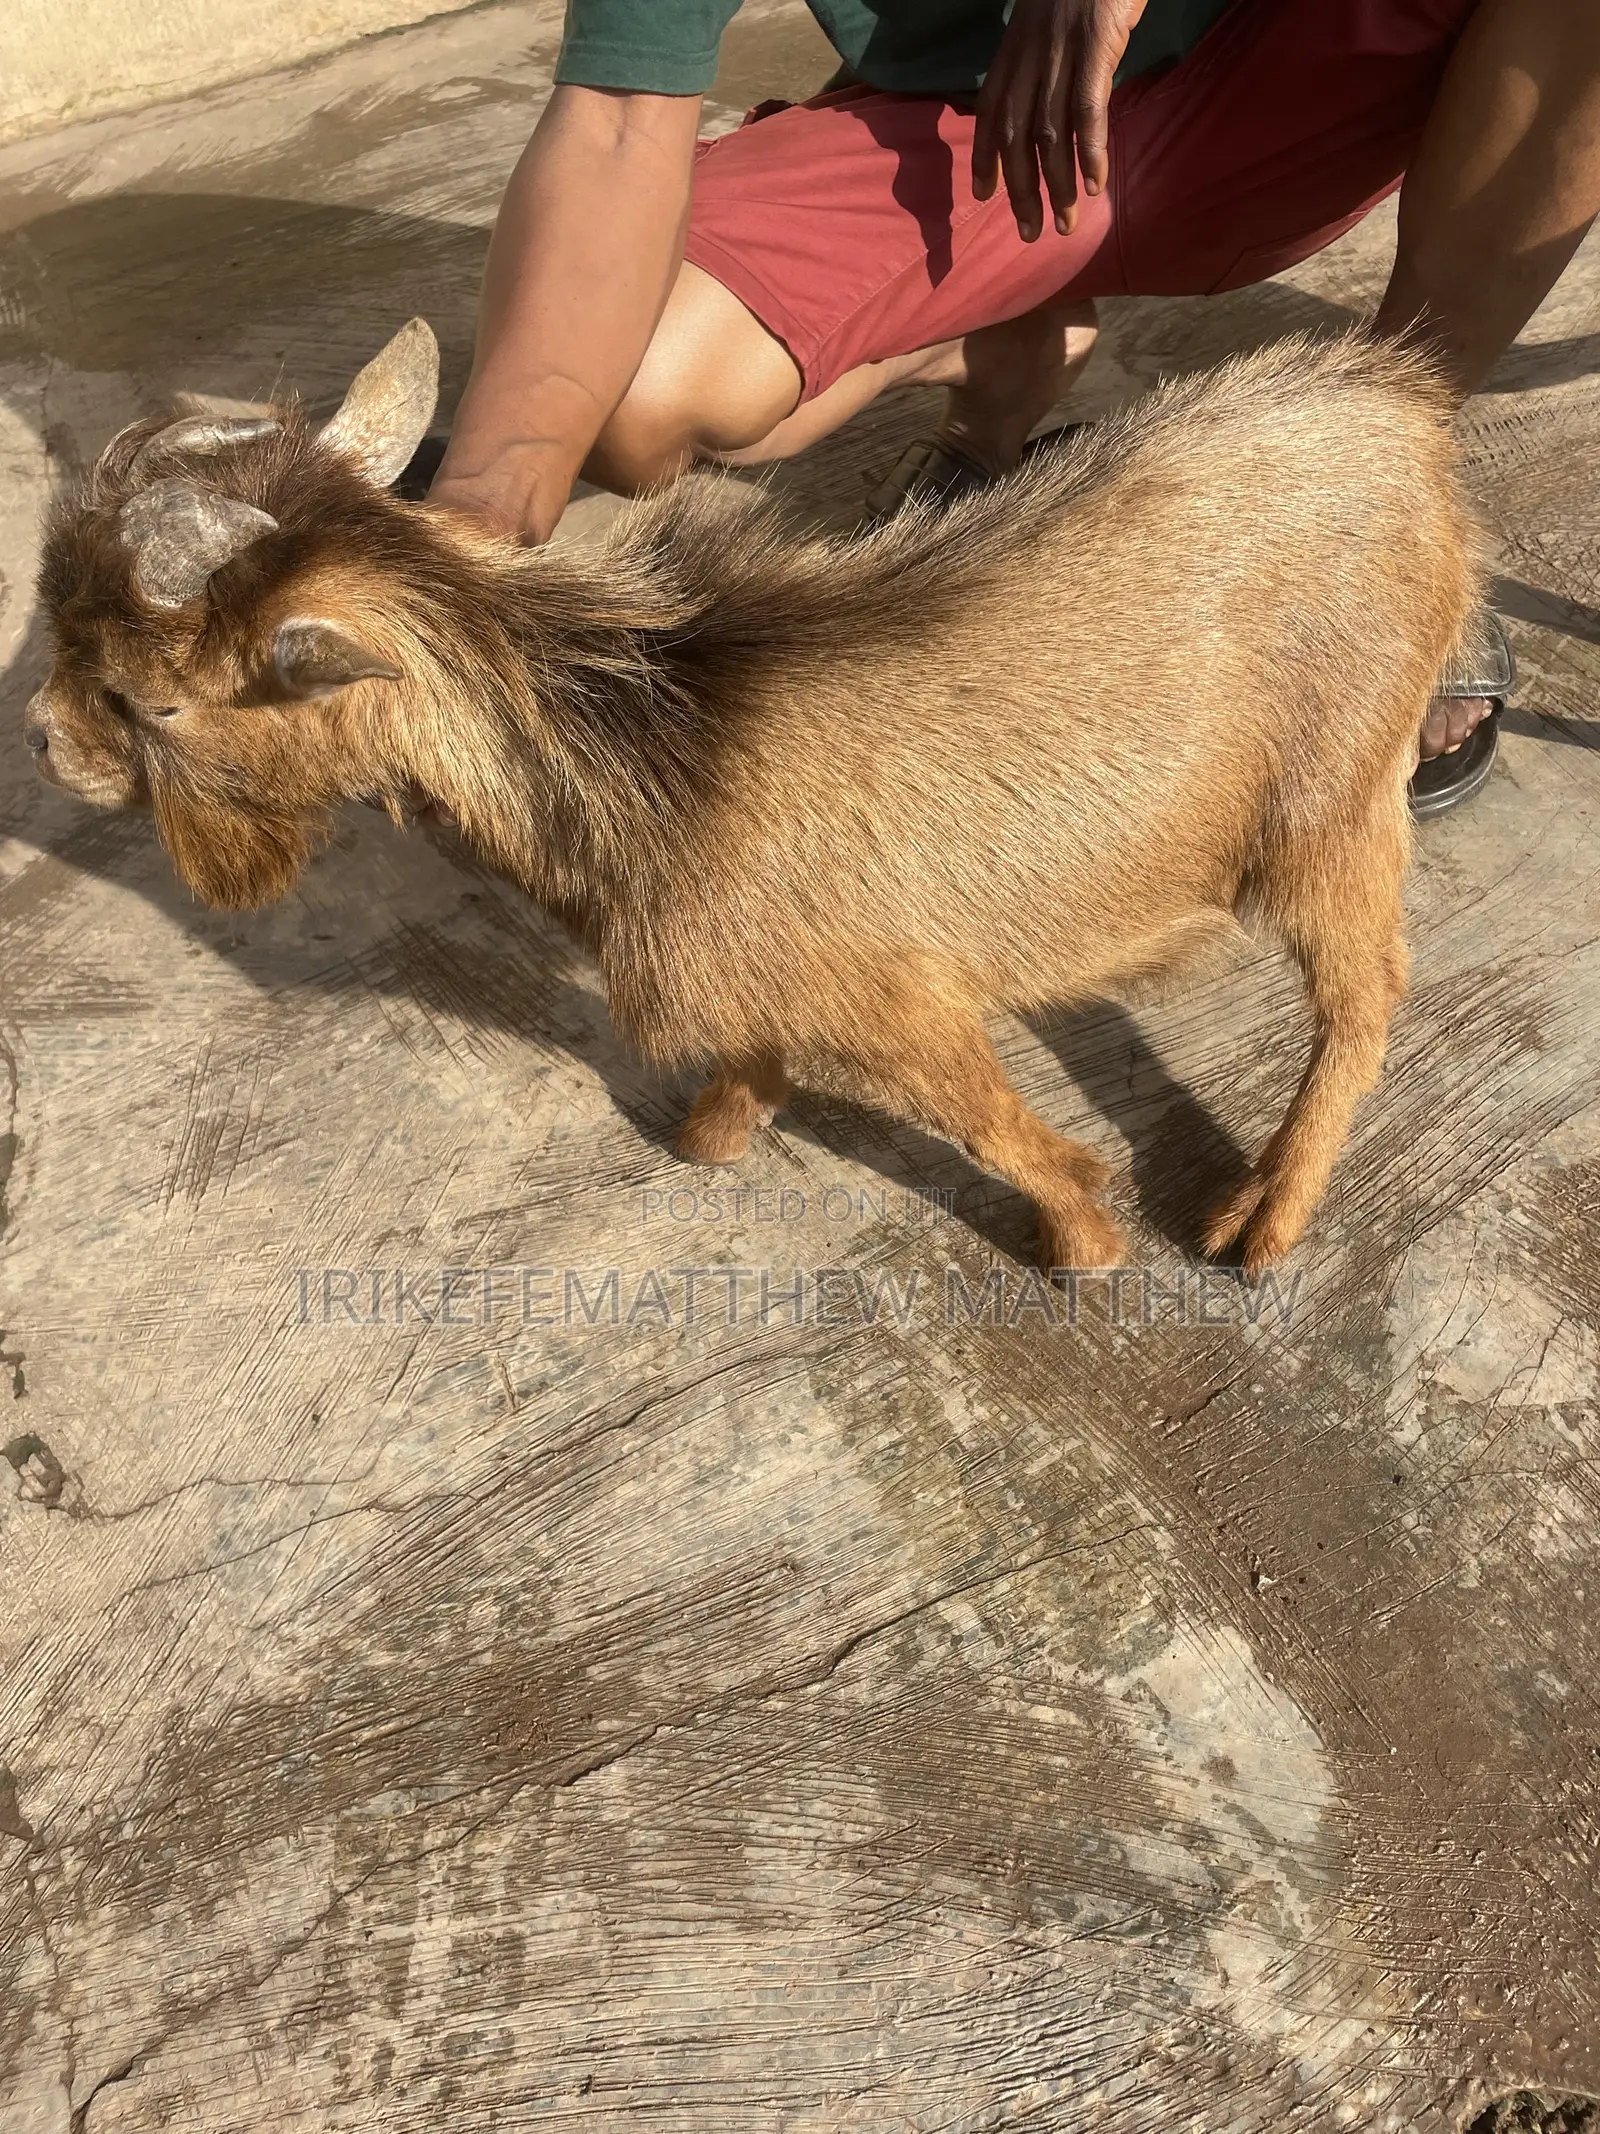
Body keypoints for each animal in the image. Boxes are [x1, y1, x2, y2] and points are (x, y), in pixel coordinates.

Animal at [28, 318, 1481, 1272]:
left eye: (154, 701)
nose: (44, 746)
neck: (646, 759)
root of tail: (1407, 412)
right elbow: (748, 1061)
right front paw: (713, 1133)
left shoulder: (901, 1004)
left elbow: (1002, 1130)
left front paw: (1085, 1245)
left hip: (1333, 798)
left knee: (1369, 989)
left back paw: (1263, 1219)